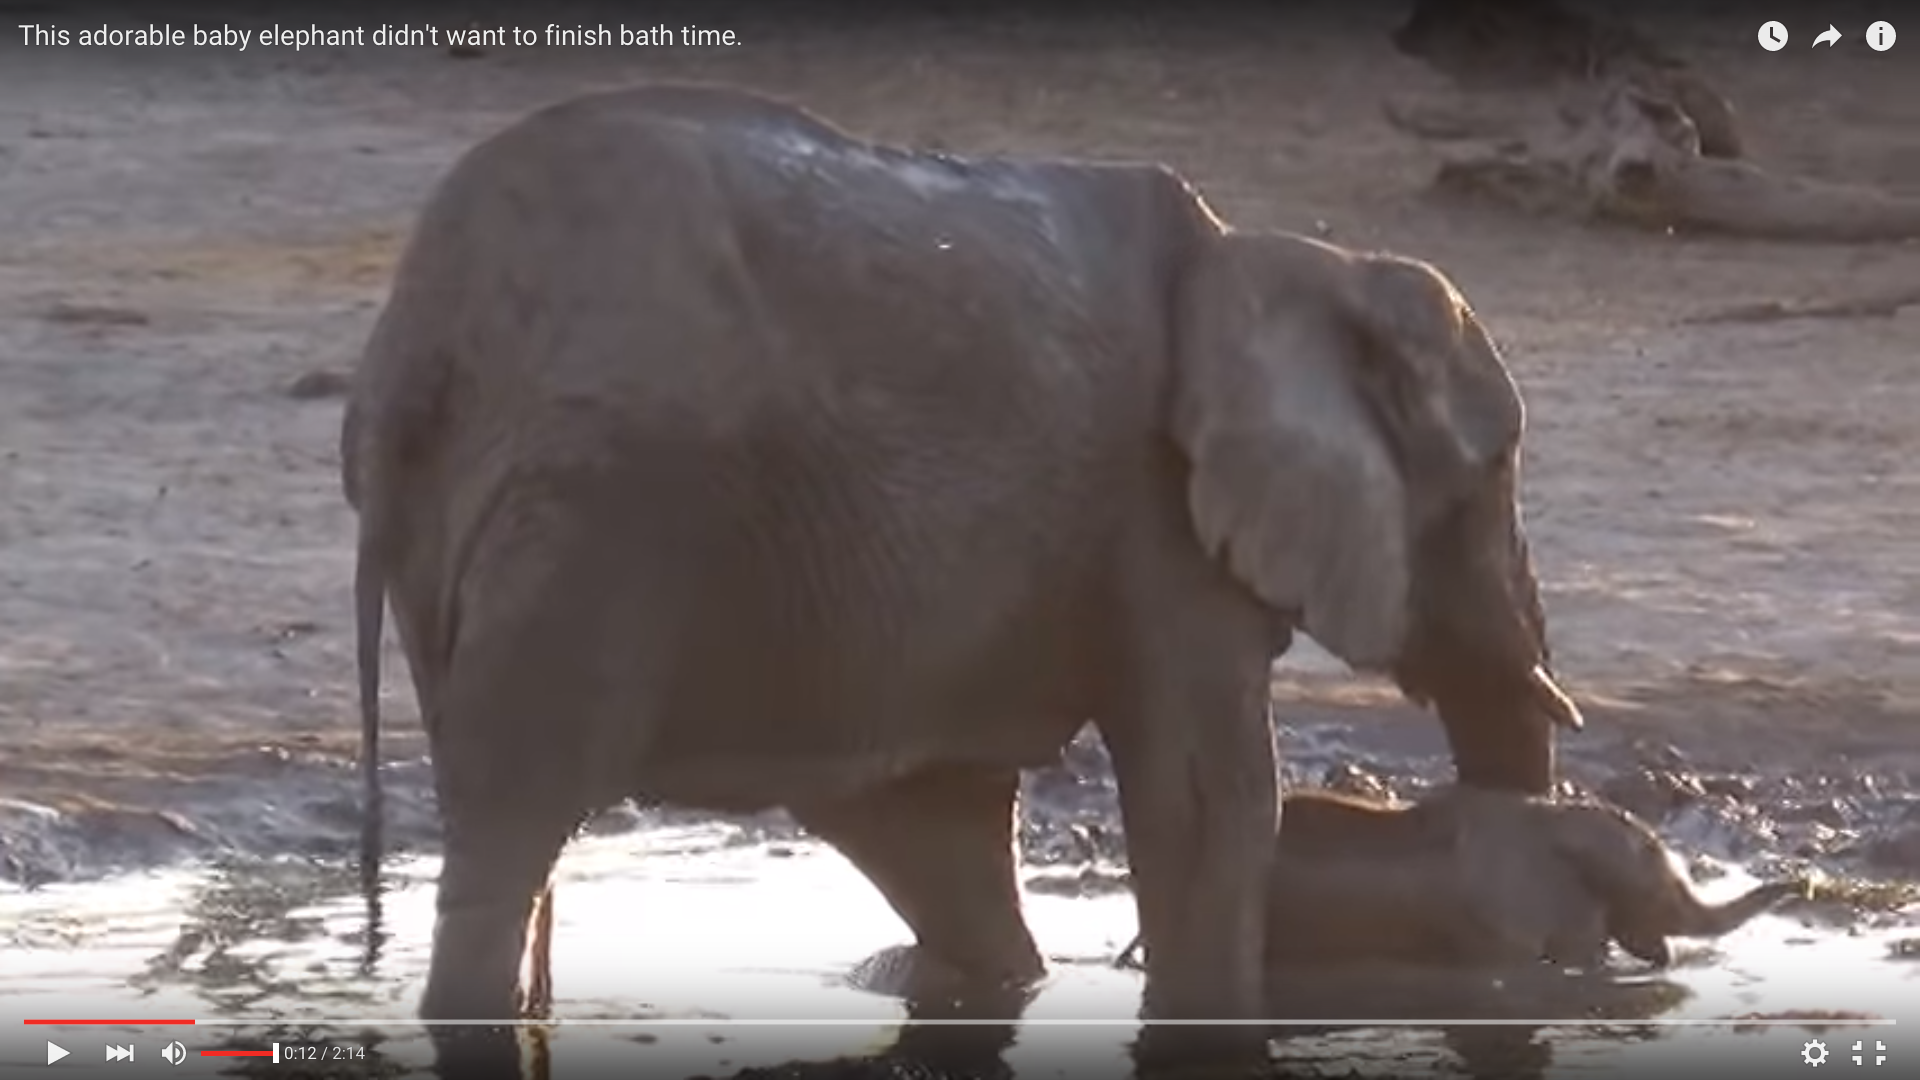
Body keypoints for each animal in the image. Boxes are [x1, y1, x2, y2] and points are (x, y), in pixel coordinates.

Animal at [337, 82, 1582, 1068]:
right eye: (1492, 471)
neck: (1286, 261)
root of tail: (416, 345)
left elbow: (931, 814)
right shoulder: (1155, 515)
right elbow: (1205, 797)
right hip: (599, 509)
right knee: (516, 812)